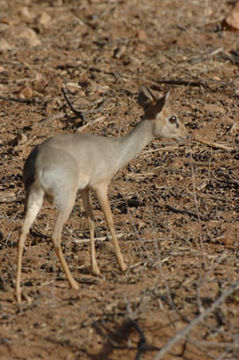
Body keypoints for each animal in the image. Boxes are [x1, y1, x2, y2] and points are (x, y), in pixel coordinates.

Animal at [16, 86, 189, 300]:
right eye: (173, 118)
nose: (186, 134)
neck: (116, 150)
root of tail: (38, 163)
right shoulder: (101, 186)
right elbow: (110, 220)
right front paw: (123, 264)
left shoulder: (85, 190)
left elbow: (91, 221)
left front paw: (96, 268)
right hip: (65, 202)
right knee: (55, 236)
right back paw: (73, 284)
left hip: (34, 198)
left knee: (22, 234)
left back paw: (19, 294)